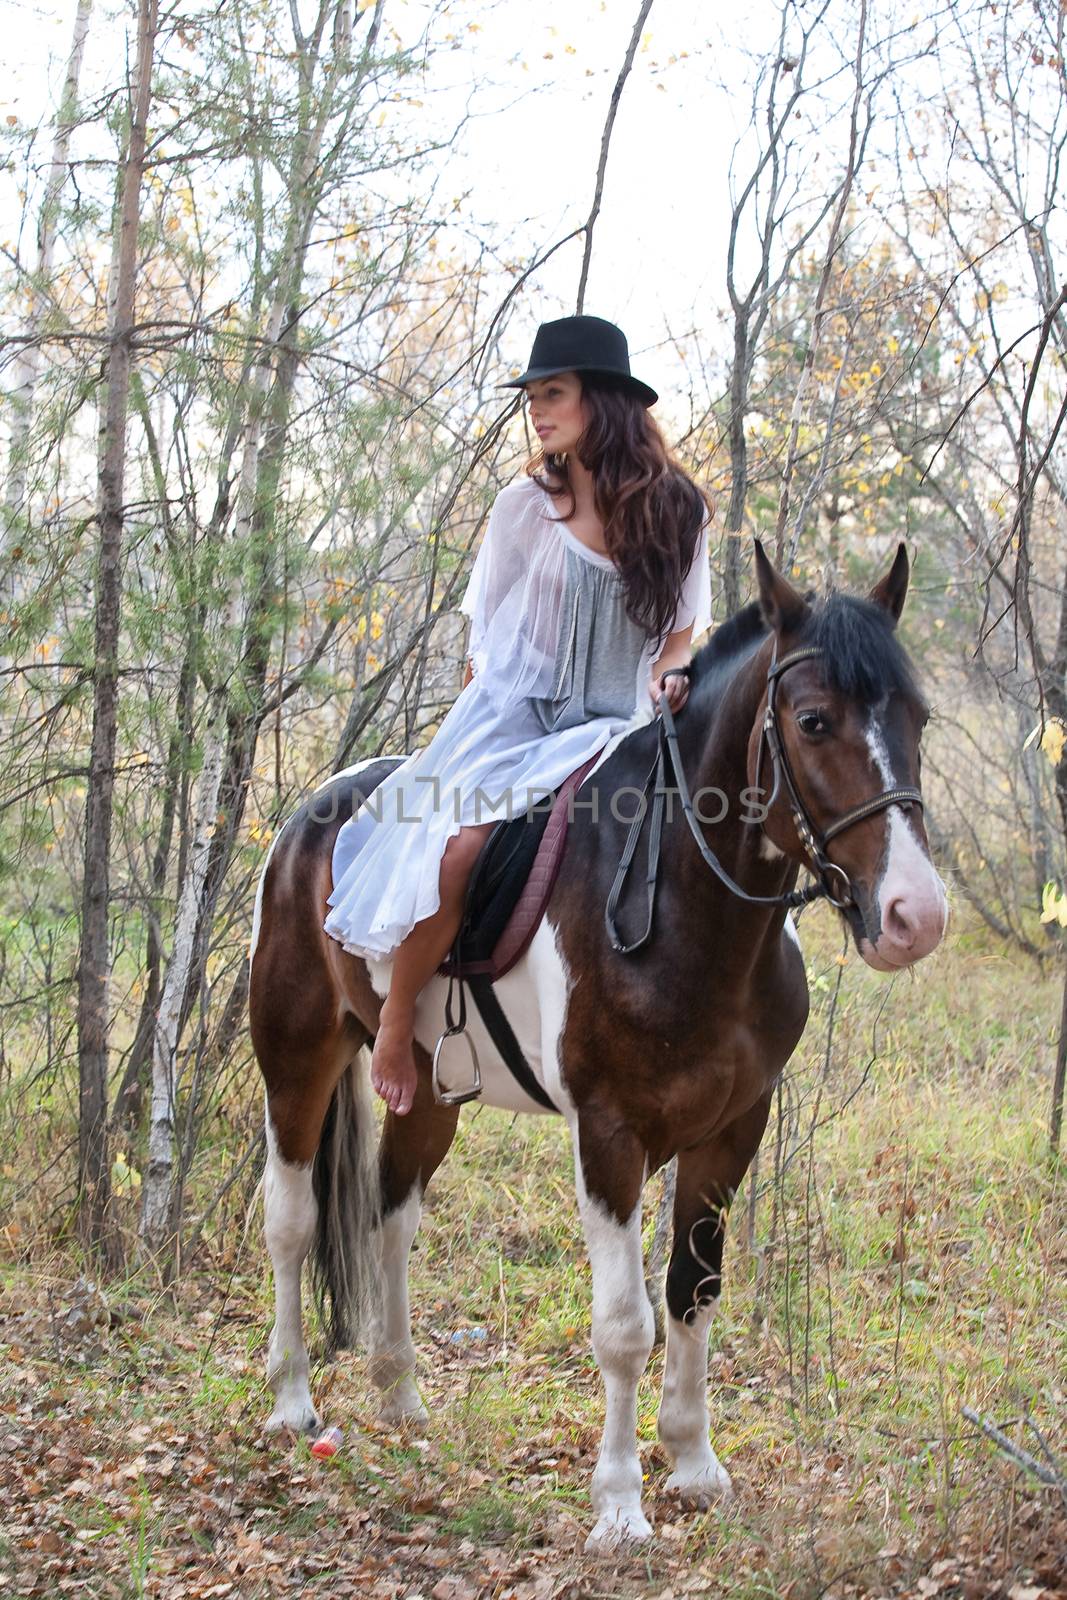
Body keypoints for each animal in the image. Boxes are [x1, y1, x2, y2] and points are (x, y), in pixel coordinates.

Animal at [247, 547, 940, 1548]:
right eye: (813, 721)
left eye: (916, 717)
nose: (914, 915)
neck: (689, 907)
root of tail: (313, 814)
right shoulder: (609, 1134)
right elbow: (624, 1324)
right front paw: (617, 1506)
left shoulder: (731, 1130)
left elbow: (692, 1290)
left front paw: (692, 1464)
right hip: (295, 1059)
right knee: (293, 1223)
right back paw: (293, 1401)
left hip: (425, 1092)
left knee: (392, 1217)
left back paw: (400, 1394)